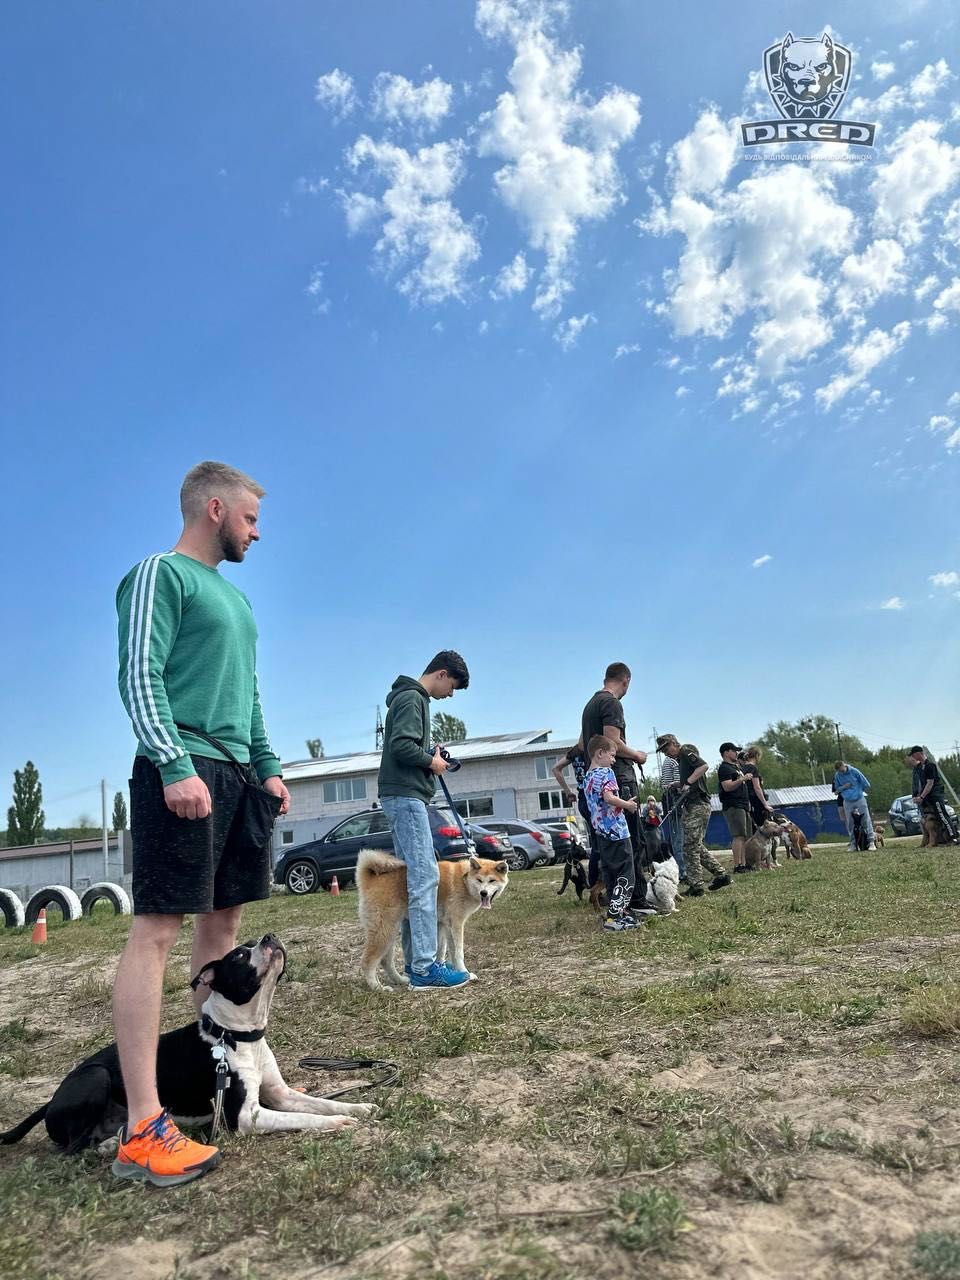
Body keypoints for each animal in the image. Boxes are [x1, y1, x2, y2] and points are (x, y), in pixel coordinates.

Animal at [0, 936, 376, 1157]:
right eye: (240, 955)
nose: (270, 937)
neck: (235, 1035)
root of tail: (50, 1100)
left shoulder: (280, 1094)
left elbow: (320, 1103)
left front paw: (357, 1107)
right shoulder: (246, 1117)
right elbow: (303, 1117)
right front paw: (336, 1124)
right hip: (95, 1075)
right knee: (73, 1148)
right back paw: (106, 1146)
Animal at [358, 855, 512, 993]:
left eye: (492, 880)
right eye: (479, 880)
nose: (483, 893)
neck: (464, 881)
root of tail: (370, 878)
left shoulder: (444, 925)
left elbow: (443, 951)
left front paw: (448, 969)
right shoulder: (457, 924)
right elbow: (458, 953)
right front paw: (465, 973)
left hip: (391, 930)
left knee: (385, 961)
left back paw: (400, 980)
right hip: (384, 930)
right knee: (367, 962)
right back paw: (378, 988)